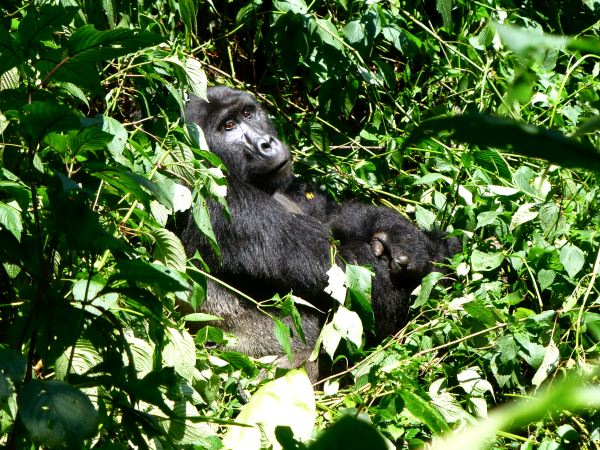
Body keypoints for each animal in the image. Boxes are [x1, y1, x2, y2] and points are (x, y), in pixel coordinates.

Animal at [180, 85, 458, 376]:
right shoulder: (225, 201)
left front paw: (402, 235)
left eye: (247, 112)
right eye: (228, 126)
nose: (265, 143)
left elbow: (331, 216)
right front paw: (440, 251)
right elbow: (360, 283)